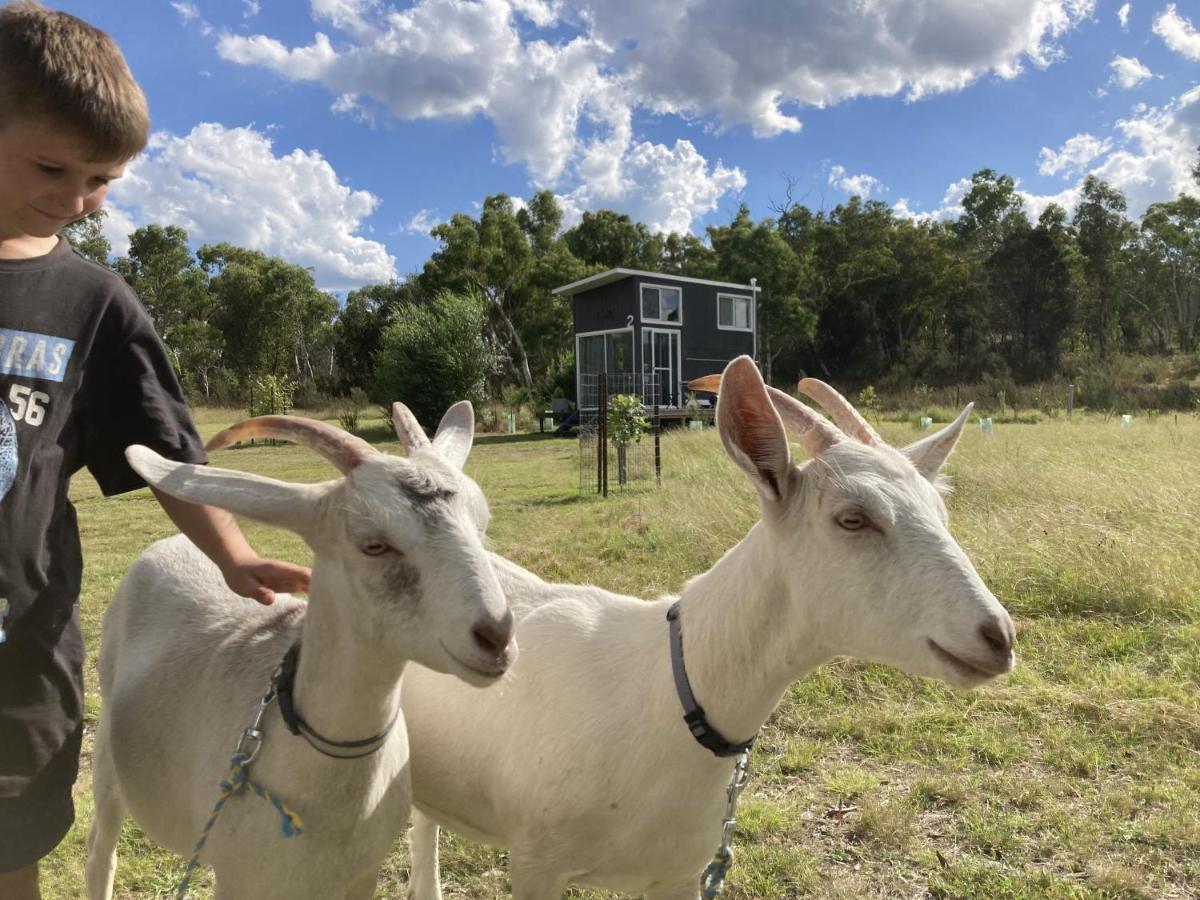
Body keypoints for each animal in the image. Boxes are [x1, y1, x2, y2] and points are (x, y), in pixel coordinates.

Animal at [83, 405, 516, 897]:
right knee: (101, 849)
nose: (497, 637)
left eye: (481, 523)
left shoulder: (360, 875)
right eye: (374, 544)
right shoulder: (239, 878)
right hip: (107, 760)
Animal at [400, 355, 1012, 897]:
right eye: (852, 518)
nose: (999, 637)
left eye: (941, 512)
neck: (669, 691)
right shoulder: (535, 865)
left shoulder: (677, 874)